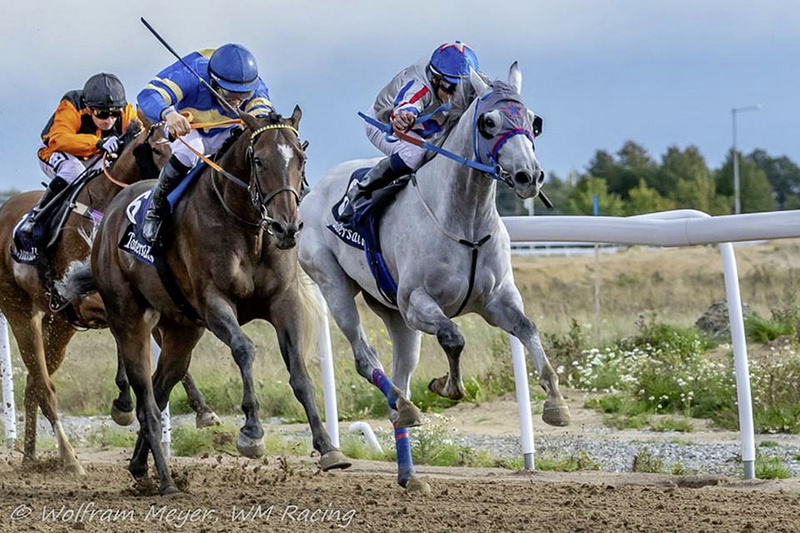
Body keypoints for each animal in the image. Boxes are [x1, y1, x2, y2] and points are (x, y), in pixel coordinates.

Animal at [0, 124, 216, 474]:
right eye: (158, 150)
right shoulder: (91, 298)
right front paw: (125, 402)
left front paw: (201, 409)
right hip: (19, 311)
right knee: (44, 386)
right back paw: (69, 458)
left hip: (58, 326)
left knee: (34, 383)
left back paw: (31, 454)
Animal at [69, 109, 354, 494]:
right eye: (259, 160)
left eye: (300, 159)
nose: (286, 227)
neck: (247, 228)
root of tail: (107, 220)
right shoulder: (214, 303)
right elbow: (244, 349)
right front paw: (251, 432)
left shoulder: (284, 301)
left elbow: (299, 372)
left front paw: (327, 447)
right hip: (129, 320)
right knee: (146, 399)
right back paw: (166, 481)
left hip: (182, 331)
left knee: (160, 388)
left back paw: (140, 465)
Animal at [298, 63, 568, 490]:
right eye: (488, 122)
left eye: (533, 122)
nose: (530, 176)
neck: (465, 221)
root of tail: (312, 193)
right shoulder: (416, 302)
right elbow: (453, 336)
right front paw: (448, 386)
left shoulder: (497, 301)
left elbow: (528, 328)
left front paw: (555, 403)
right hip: (333, 283)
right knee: (364, 358)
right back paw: (405, 408)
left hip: (392, 314)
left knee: (400, 377)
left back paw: (409, 469)